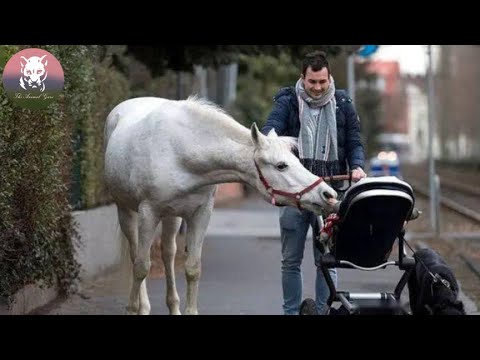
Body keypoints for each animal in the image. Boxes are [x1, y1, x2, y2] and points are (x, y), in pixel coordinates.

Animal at [105, 96, 338, 316]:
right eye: (281, 165)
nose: (328, 194)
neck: (179, 151)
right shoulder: (149, 213)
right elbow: (141, 266)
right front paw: (132, 308)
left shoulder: (200, 214)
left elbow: (193, 268)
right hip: (126, 211)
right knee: (136, 254)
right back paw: (142, 306)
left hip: (172, 217)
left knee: (168, 254)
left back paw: (173, 305)